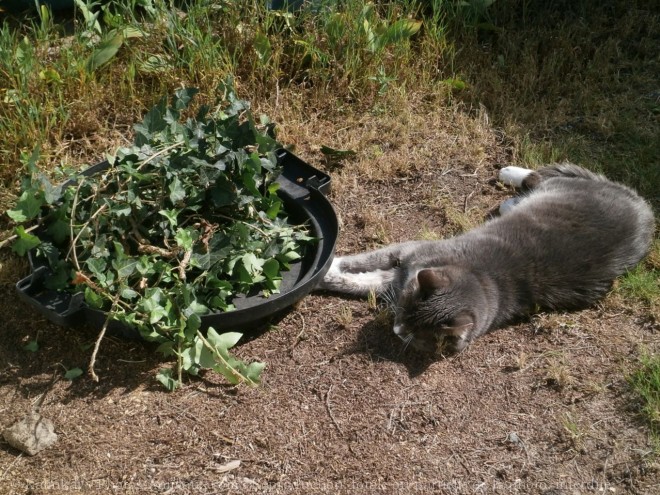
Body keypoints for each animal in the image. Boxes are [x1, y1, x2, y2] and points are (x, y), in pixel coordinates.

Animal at [320, 165, 656, 354]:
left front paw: (330, 272)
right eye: (403, 311)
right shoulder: (407, 251)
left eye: (417, 334)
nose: (397, 330)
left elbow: (365, 282)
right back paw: (508, 178)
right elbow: (365, 262)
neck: (480, 276)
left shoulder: (404, 271)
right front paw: (331, 265)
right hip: (561, 188)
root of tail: (644, 206)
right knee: (537, 177)